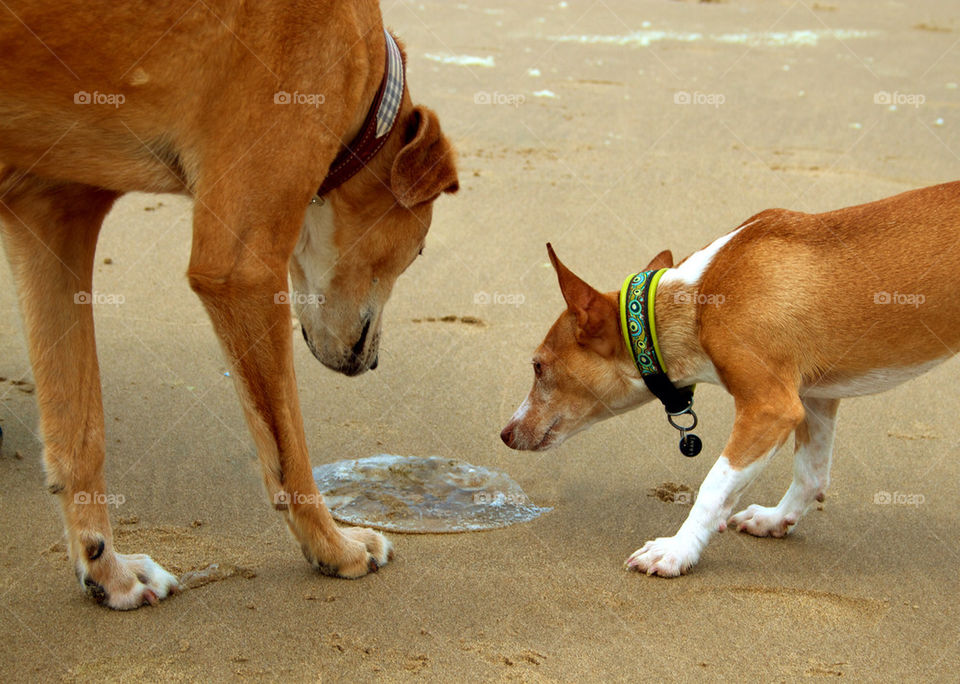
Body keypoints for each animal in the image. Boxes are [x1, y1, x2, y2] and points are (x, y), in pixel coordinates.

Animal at [0, 0, 458, 608]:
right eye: (421, 249)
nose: (374, 362)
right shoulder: (241, 273)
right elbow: (289, 455)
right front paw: (334, 548)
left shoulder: (51, 206)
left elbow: (80, 431)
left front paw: (104, 567)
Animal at [502, 182, 960, 576]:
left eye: (538, 367)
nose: (505, 434)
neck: (701, 296)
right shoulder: (814, 396)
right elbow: (811, 474)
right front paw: (778, 519)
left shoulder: (771, 408)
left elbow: (712, 486)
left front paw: (677, 550)